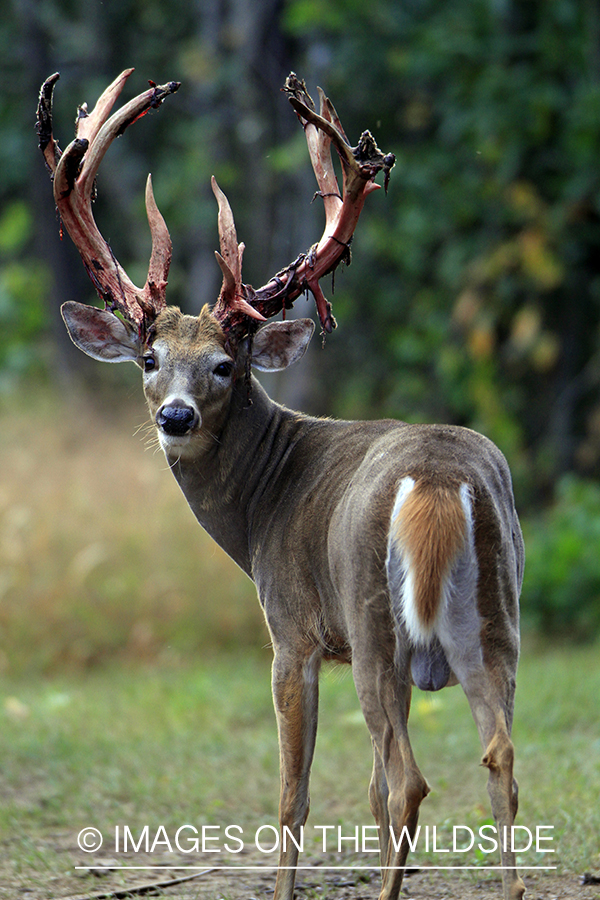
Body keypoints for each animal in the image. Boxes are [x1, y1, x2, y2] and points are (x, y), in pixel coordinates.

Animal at [36, 70, 524, 900]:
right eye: (148, 359)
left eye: (224, 365)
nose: (174, 415)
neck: (263, 501)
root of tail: (438, 479)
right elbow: (360, 790)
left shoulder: (293, 630)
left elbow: (295, 792)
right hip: (497, 621)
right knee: (500, 762)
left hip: (375, 622)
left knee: (410, 779)